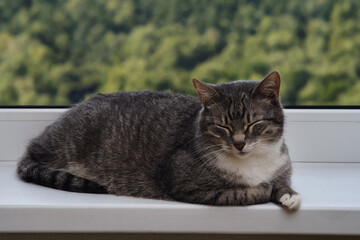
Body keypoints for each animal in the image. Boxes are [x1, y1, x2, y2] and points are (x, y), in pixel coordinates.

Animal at [16, 71, 300, 210]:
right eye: (223, 126)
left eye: (253, 124)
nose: (240, 143)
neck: (253, 163)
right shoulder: (185, 184)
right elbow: (240, 193)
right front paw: (264, 189)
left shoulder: (282, 166)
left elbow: (282, 183)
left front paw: (289, 195)